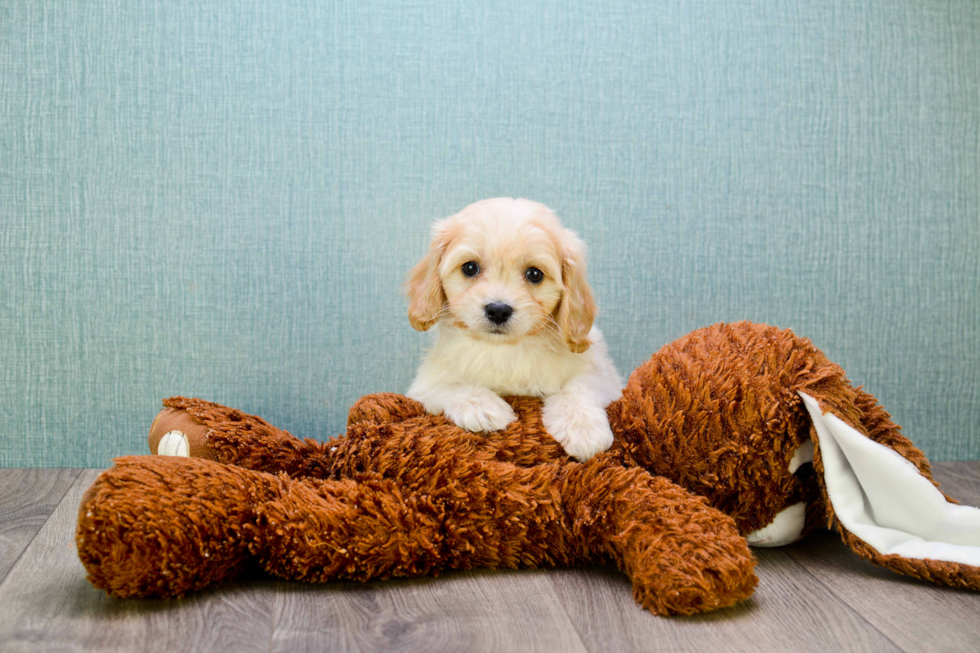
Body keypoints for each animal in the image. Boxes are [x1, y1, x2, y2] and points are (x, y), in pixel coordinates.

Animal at [404, 197, 620, 458]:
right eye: (470, 268)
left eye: (535, 274)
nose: (498, 310)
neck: (507, 348)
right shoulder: (423, 386)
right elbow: (450, 387)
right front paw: (482, 407)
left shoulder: (606, 377)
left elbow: (580, 387)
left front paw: (583, 428)